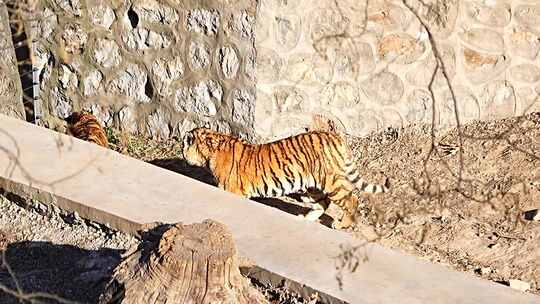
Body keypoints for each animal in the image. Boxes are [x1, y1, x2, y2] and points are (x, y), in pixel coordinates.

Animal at [181, 127, 388, 229]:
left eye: (185, 144)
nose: (182, 152)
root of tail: (335, 137)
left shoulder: (232, 191)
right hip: (313, 186)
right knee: (324, 202)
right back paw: (305, 218)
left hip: (330, 181)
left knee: (351, 199)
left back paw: (341, 225)